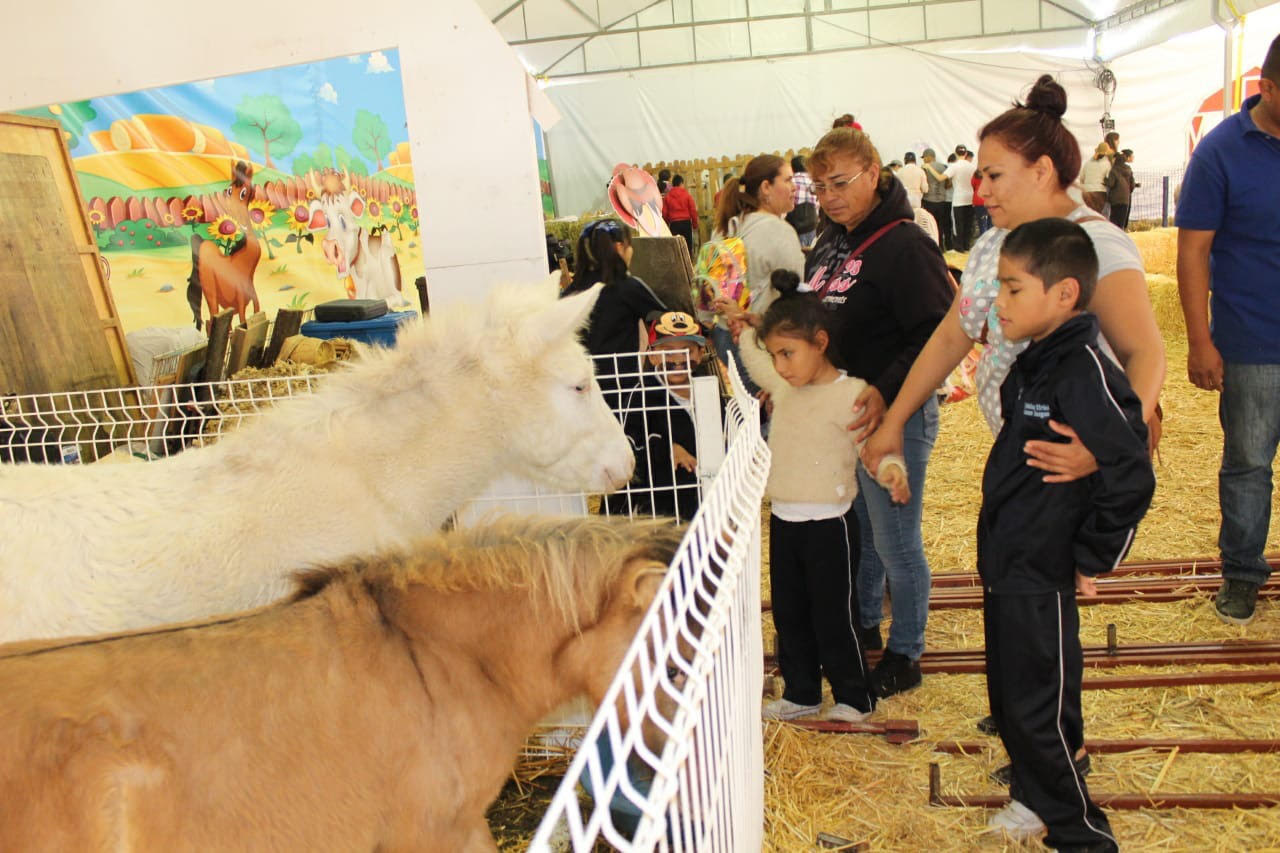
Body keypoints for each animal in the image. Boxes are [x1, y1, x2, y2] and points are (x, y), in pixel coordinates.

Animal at [186, 159, 263, 327]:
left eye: (245, 193)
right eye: (228, 191)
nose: (236, 217)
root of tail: (204, 245)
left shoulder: (253, 302)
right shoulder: (240, 302)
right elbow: (243, 323)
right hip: (211, 293)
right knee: (211, 320)